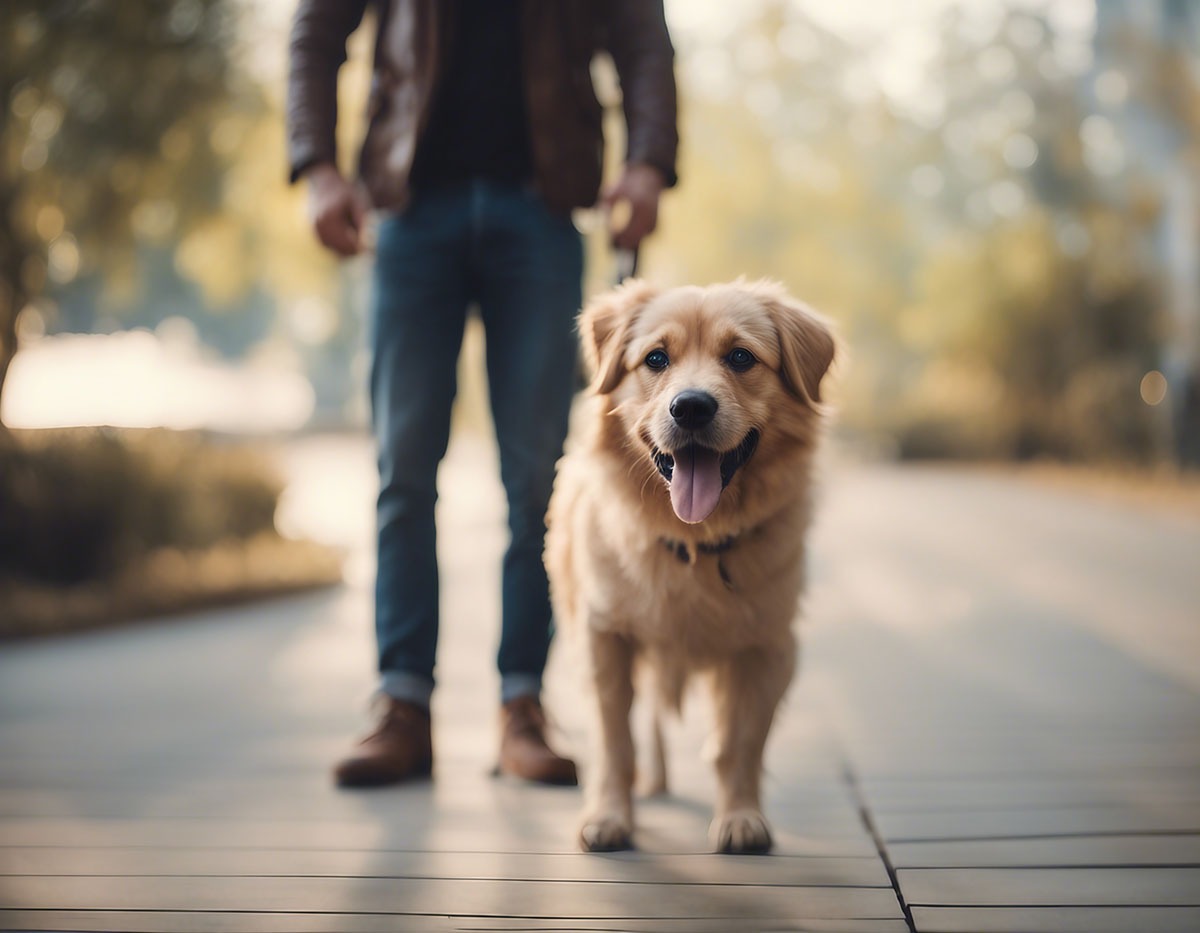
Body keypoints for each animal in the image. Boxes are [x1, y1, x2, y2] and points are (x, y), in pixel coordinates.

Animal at [547, 275, 835, 849]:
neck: (695, 541)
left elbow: (738, 745)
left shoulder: (768, 647)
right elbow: (615, 740)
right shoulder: (604, 637)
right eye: (656, 358)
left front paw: (741, 816)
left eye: (741, 357)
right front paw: (609, 815)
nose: (692, 407)